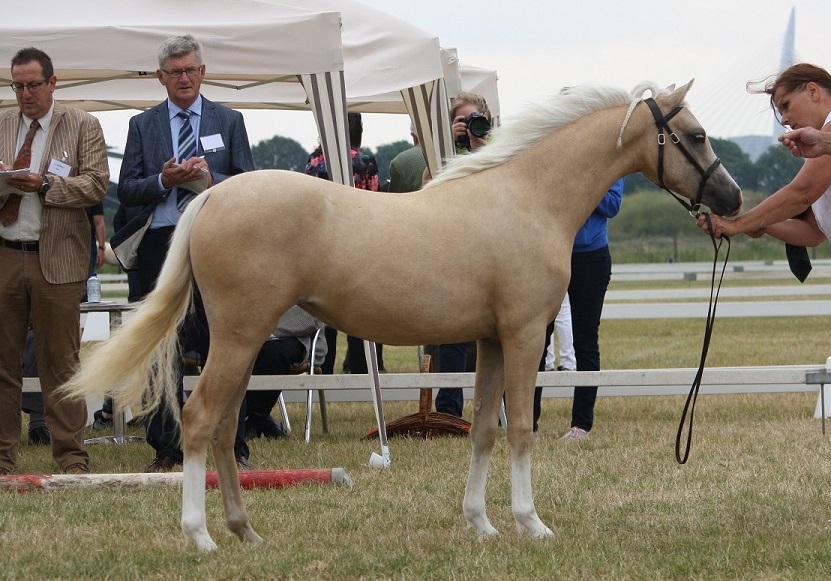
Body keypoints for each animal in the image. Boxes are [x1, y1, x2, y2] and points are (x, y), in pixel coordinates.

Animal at [65, 80, 740, 548]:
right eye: (697, 135)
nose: (731, 198)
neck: (527, 197)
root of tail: (211, 195)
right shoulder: (524, 335)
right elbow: (521, 428)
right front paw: (531, 524)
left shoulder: (491, 342)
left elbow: (485, 430)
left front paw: (482, 524)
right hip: (238, 335)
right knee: (202, 419)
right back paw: (201, 536)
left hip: (245, 344)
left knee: (228, 426)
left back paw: (244, 530)